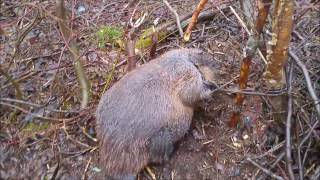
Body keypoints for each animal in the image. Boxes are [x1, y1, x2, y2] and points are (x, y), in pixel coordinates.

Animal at [95, 48, 218, 180]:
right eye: (202, 52)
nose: (217, 64)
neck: (182, 58)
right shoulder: (187, 73)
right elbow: (192, 93)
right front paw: (211, 88)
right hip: (162, 136)